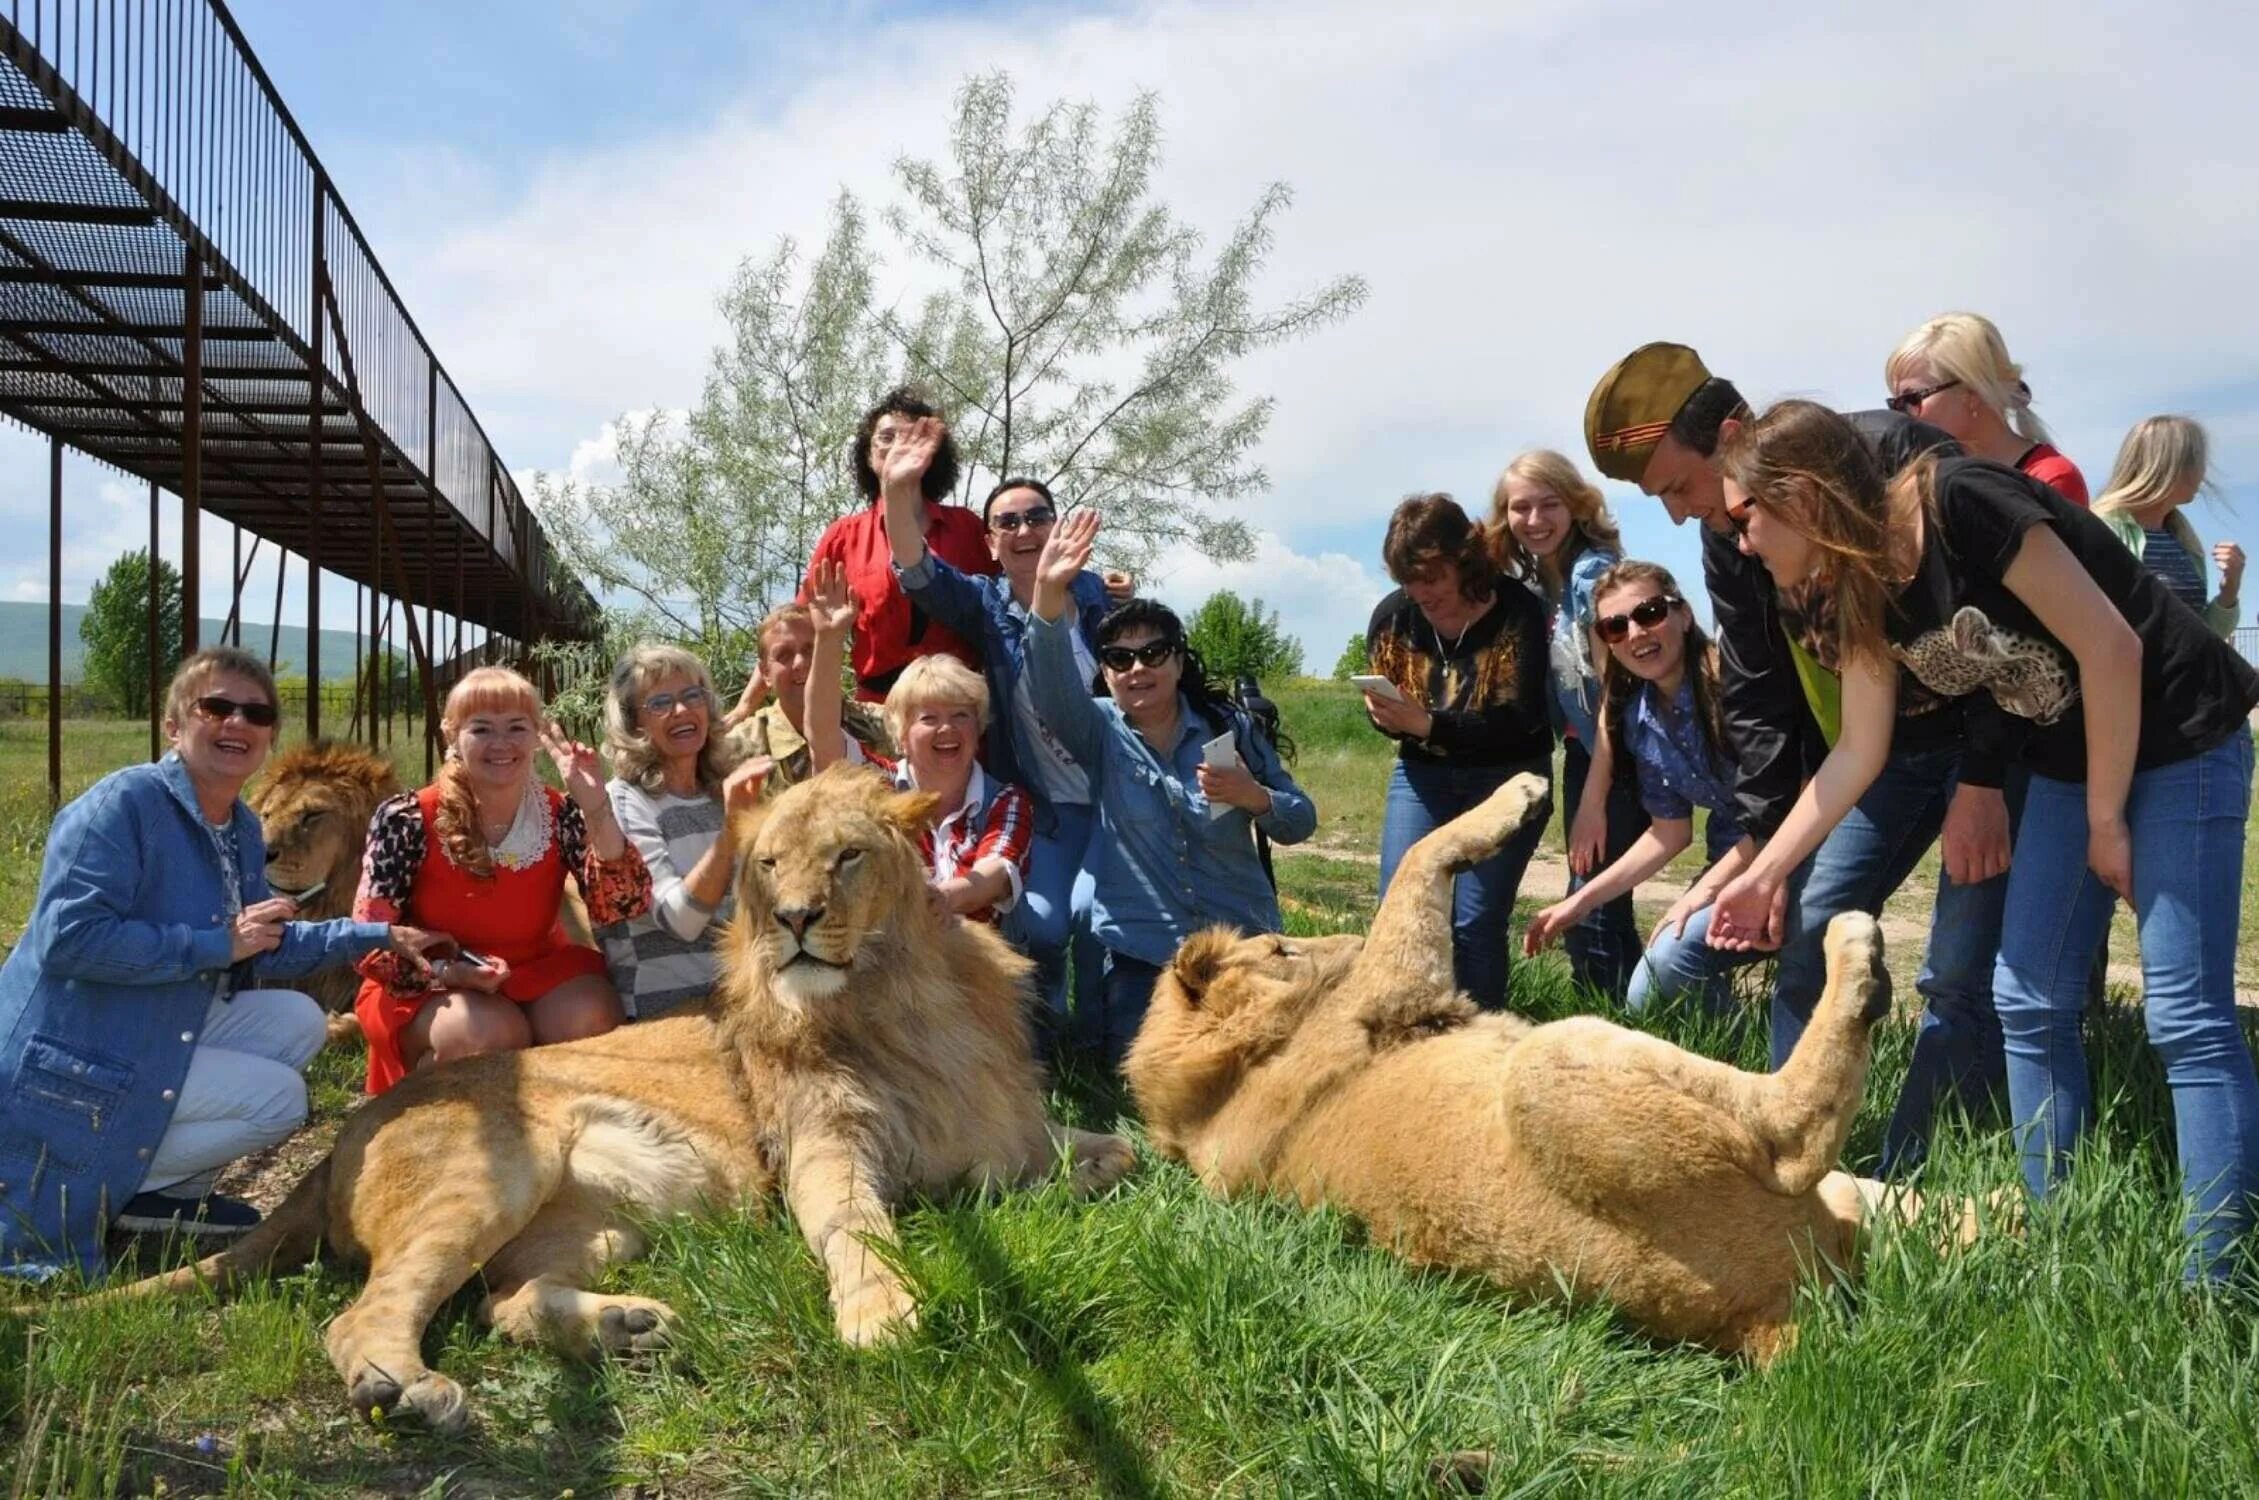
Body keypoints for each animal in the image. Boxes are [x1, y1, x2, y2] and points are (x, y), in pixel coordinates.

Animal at [114, 768, 1138, 1436]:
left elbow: (1118, 1153)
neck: (897, 999)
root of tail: (345, 1136)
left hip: (616, 1220)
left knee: (500, 1301)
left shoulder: (1004, 1130)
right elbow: (858, 1230)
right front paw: (883, 1315)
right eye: (769, 867)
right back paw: (408, 1389)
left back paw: (626, 1328)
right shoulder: (823, 1149)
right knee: (361, 1315)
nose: (797, 920)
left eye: (847, 858)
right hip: (498, 1169)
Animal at [1120, 768, 1951, 1364]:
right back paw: (1855, 954)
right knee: (1794, 1131)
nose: (1344, 943)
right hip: (1553, 1061)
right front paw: (1516, 796)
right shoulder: (1395, 980)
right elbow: (1418, 857)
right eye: (1281, 947)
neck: (1226, 1081)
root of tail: (1761, 1321)